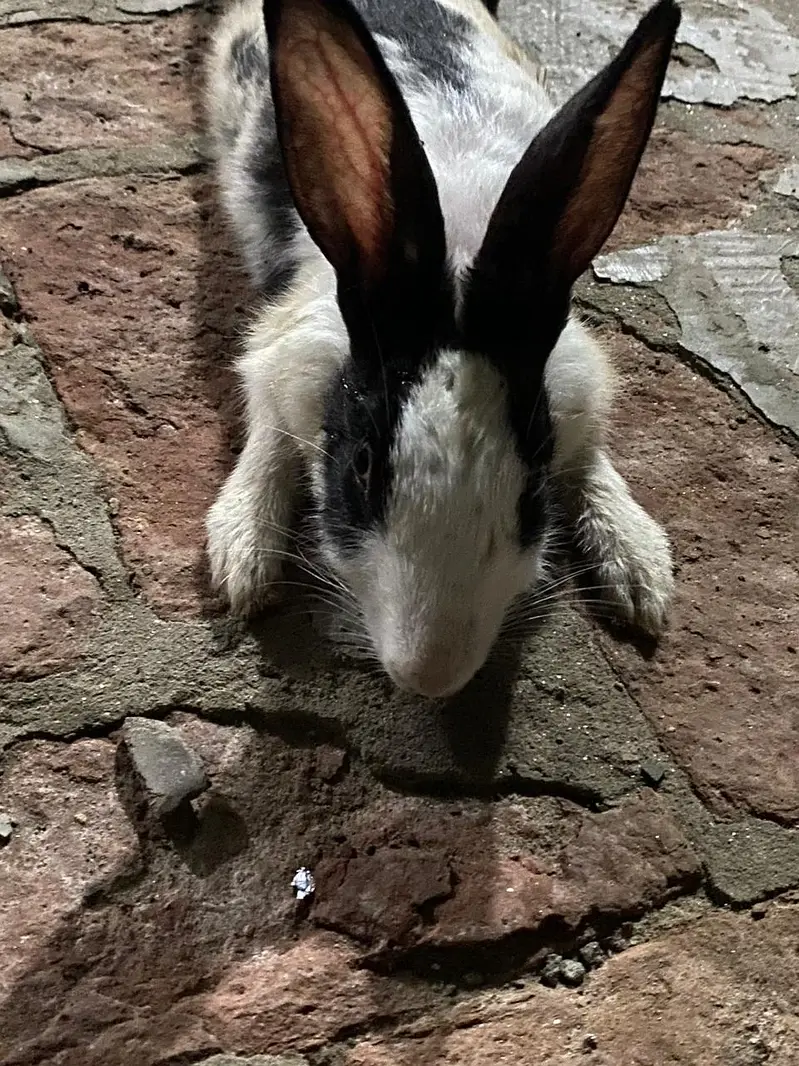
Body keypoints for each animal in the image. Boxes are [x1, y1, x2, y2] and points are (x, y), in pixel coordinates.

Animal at [204, 0, 679, 699]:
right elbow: (268, 434)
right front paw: (244, 556)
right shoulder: (279, 355)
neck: (458, 243)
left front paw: (640, 570)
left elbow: (590, 455)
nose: (430, 674)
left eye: (532, 484)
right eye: (363, 465)